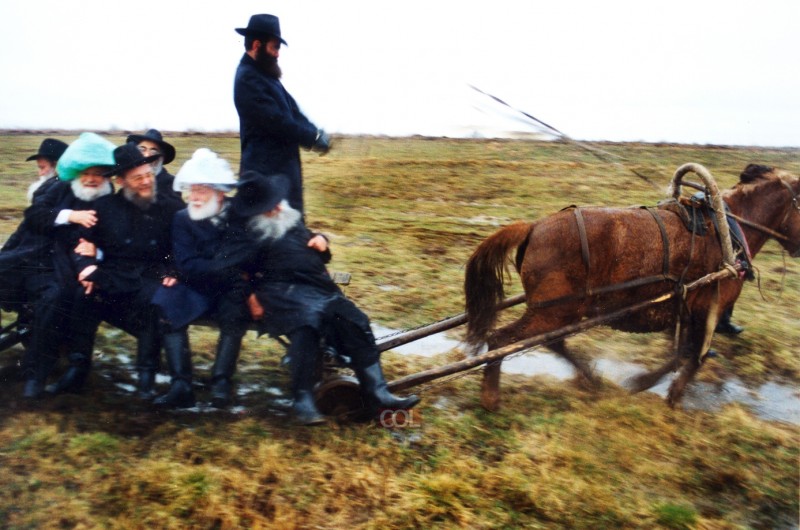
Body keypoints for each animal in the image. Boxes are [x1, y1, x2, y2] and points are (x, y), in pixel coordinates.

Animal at [462, 164, 800, 408]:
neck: (727, 228)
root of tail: (534, 227)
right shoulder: (707, 309)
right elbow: (694, 356)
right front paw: (664, 392)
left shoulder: (686, 307)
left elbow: (682, 353)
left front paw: (650, 384)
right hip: (552, 312)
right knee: (501, 340)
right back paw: (491, 398)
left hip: (559, 314)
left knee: (552, 343)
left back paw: (591, 379)